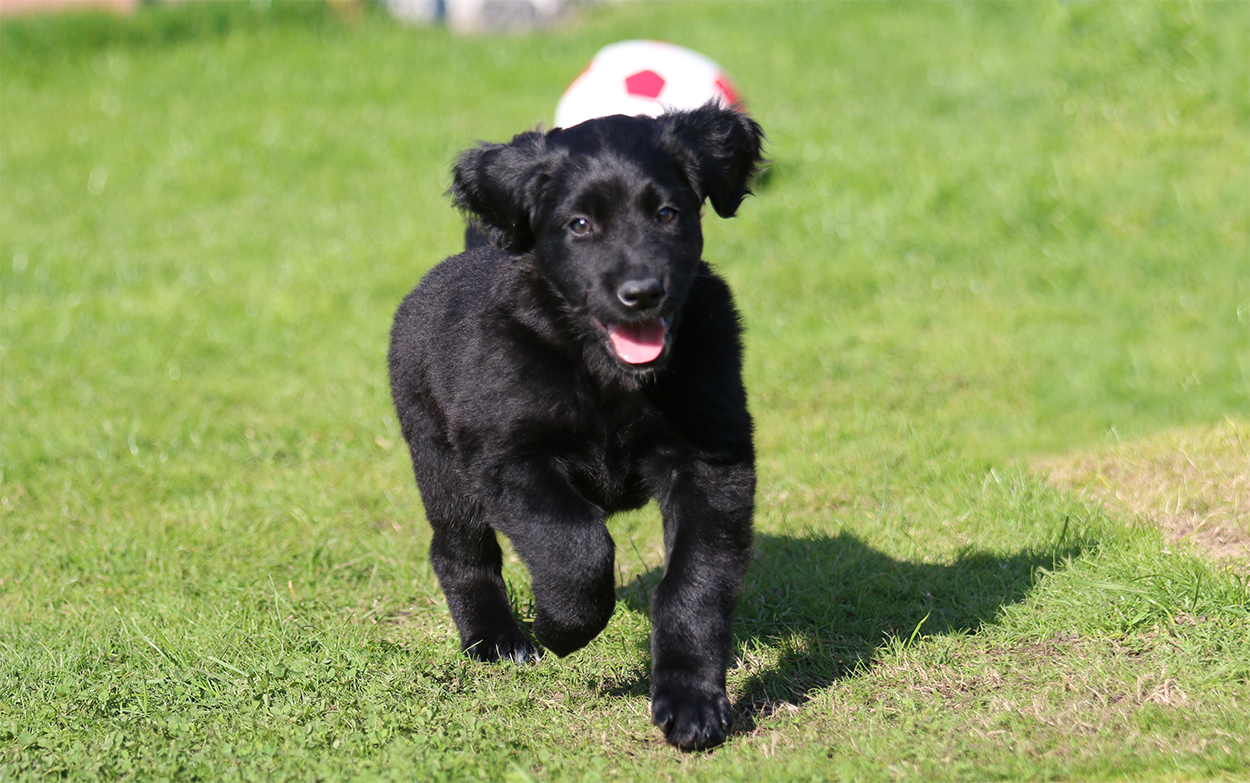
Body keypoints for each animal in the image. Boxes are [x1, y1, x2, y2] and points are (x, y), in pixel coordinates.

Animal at [388, 103, 764, 750]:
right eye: (581, 224)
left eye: (667, 213)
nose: (642, 293)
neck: (608, 372)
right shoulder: (508, 457)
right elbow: (576, 545)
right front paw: (560, 627)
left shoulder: (714, 462)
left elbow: (694, 584)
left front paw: (693, 702)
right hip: (439, 461)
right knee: (458, 552)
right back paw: (497, 641)